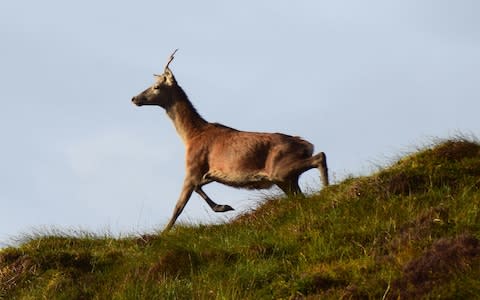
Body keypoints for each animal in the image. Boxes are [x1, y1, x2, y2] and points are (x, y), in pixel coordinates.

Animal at [131, 50, 328, 231]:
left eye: (156, 86)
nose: (134, 98)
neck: (191, 136)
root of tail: (306, 145)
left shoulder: (193, 166)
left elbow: (178, 205)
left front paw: (164, 233)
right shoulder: (209, 172)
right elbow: (199, 187)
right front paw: (223, 207)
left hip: (279, 170)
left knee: (320, 156)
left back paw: (326, 189)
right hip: (286, 180)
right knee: (301, 193)